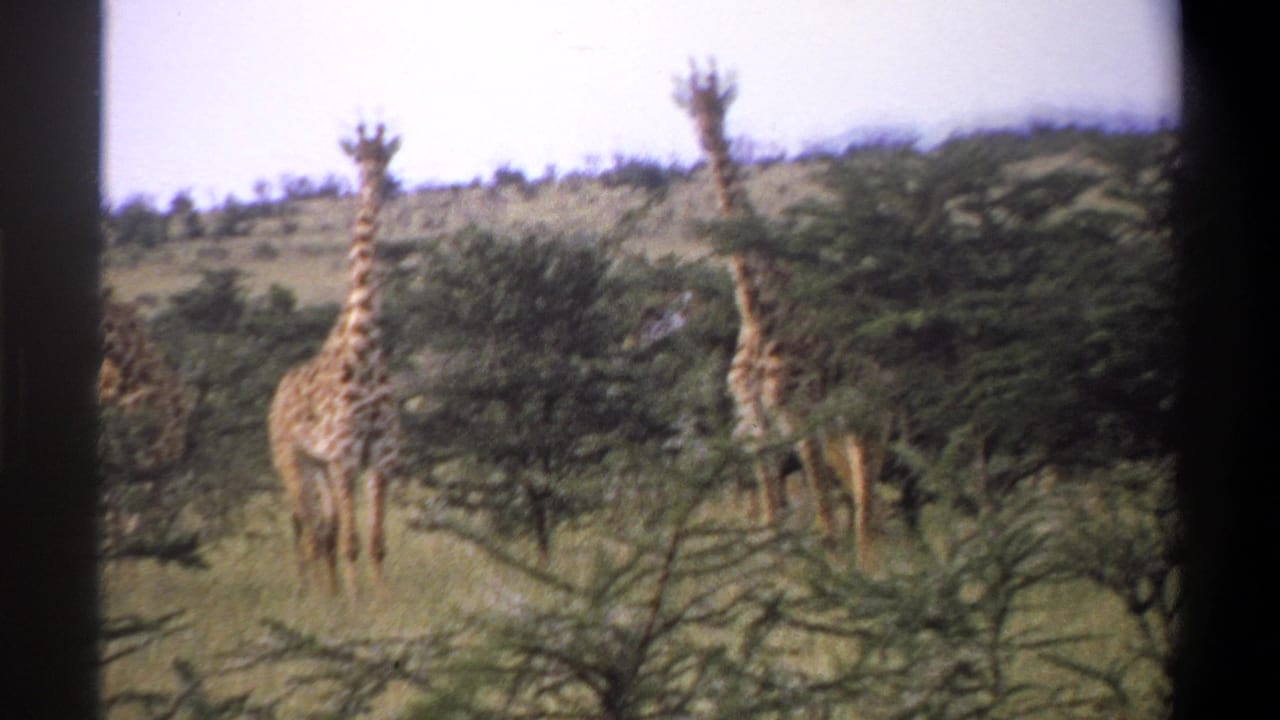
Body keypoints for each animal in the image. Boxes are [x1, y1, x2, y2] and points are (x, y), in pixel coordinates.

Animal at [268, 123, 403, 601]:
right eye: (358, 158)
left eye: (386, 156)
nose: (375, 181)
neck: (364, 350)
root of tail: (276, 394)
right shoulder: (344, 458)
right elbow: (351, 542)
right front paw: (359, 603)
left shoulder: (380, 459)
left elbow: (376, 541)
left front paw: (381, 601)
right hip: (293, 462)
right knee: (308, 533)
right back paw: (313, 598)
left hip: (322, 469)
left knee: (321, 533)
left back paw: (329, 595)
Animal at [676, 60, 883, 568]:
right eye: (690, 107)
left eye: (721, 104)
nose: (708, 136)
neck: (757, 310)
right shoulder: (758, 428)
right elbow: (772, 519)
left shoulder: (796, 414)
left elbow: (821, 515)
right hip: (839, 425)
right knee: (862, 494)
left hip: (869, 413)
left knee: (869, 494)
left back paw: (874, 565)